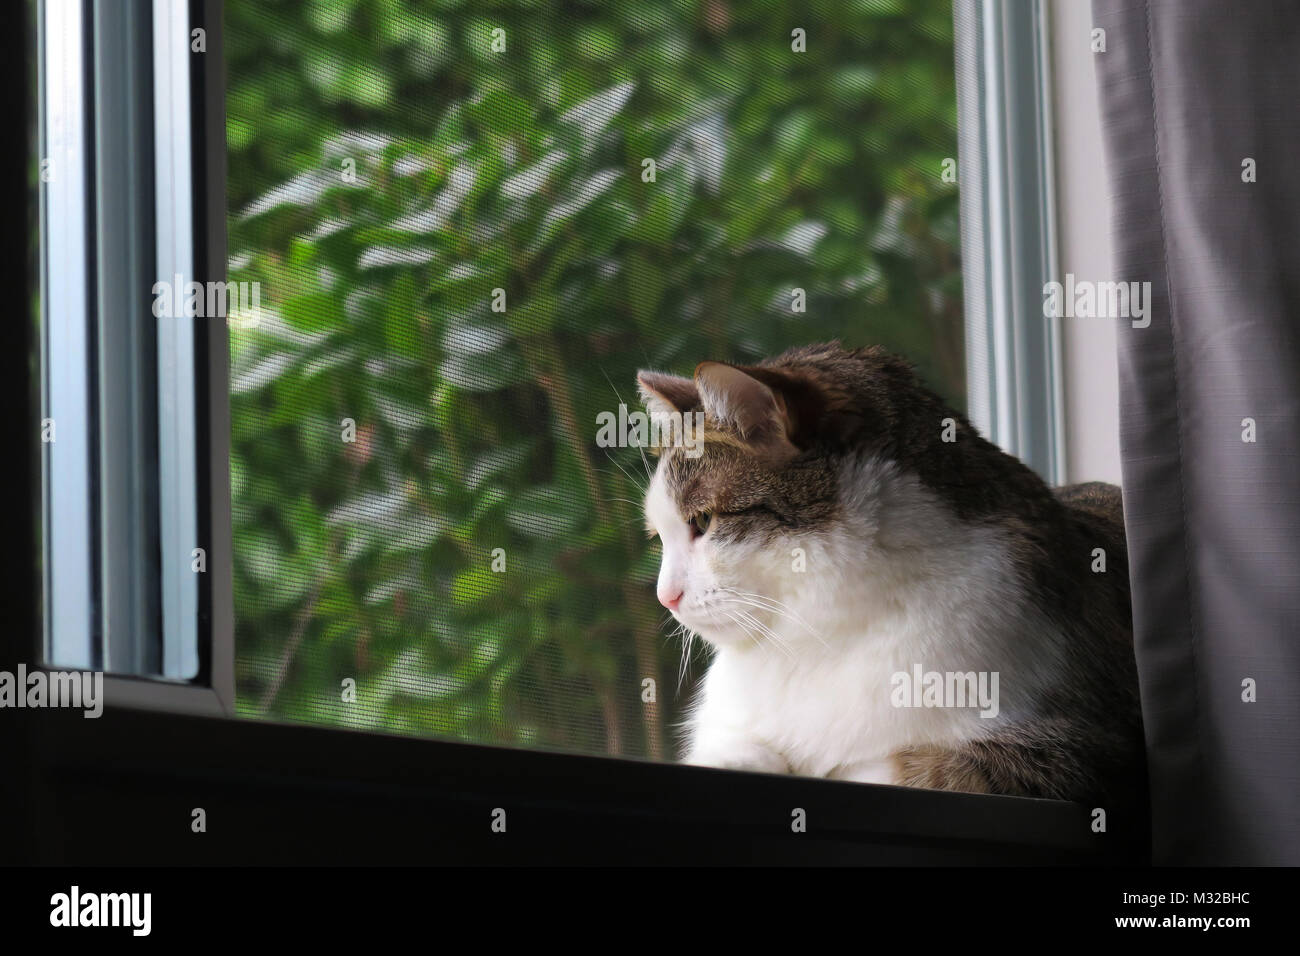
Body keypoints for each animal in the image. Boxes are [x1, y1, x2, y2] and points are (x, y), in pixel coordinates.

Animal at [639, 340, 1149, 811]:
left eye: (703, 522)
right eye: (659, 537)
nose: (665, 597)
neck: (813, 641)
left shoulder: (1073, 748)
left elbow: (899, 767)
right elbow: (734, 750)